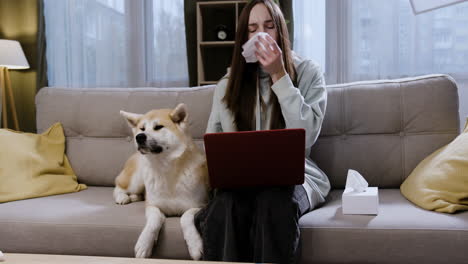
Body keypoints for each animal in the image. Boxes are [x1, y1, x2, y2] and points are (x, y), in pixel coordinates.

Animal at [112, 103, 209, 260]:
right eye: (142, 128)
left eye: (158, 127)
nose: (139, 137)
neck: (166, 169)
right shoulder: (152, 206)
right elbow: (154, 220)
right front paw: (144, 243)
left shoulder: (200, 205)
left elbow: (185, 217)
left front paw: (195, 245)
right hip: (136, 180)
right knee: (118, 186)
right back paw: (122, 197)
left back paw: (134, 197)